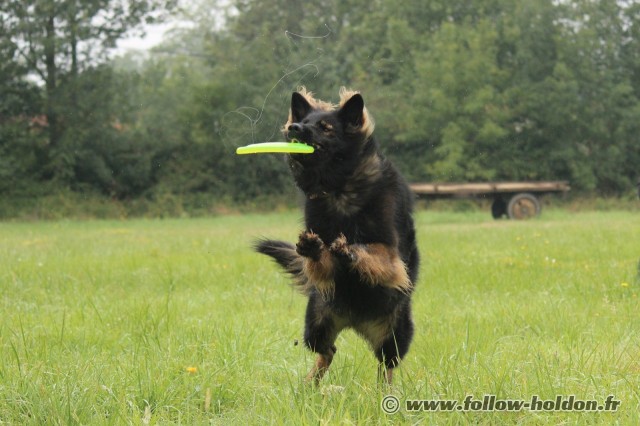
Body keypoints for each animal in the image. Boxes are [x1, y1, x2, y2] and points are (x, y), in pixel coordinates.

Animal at [255, 88, 420, 384]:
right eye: (302, 122)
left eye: (326, 127)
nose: (295, 128)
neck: (339, 188)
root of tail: (356, 321)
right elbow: (321, 259)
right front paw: (314, 249)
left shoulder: (392, 257)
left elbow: (373, 252)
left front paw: (351, 250)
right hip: (317, 322)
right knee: (328, 351)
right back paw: (309, 385)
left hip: (395, 334)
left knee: (385, 367)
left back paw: (385, 392)